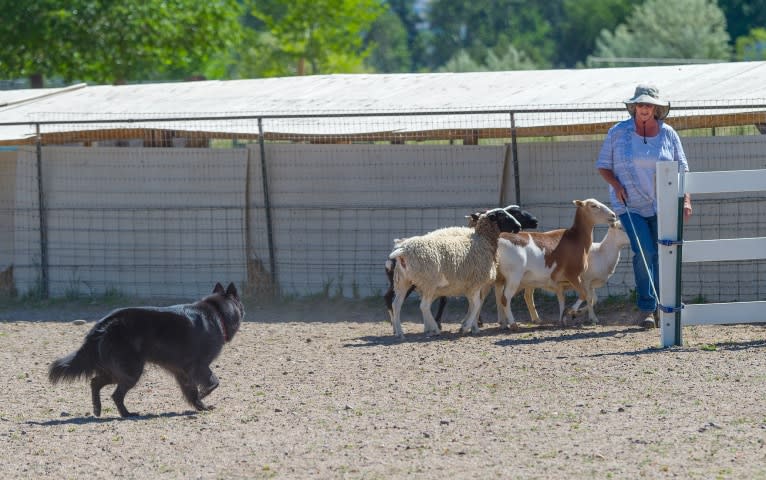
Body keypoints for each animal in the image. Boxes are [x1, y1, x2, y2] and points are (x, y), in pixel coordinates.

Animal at [48, 282, 244, 416]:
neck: (217, 313)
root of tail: (102, 324)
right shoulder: (199, 366)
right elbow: (213, 382)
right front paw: (204, 398)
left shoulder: (182, 372)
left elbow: (191, 391)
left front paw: (199, 405)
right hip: (131, 371)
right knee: (115, 394)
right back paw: (126, 414)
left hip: (116, 370)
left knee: (95, 382)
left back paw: (98, 409)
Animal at [390, 208, 520, 340]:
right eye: (502, 216)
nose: (519, 226)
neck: (483, 241)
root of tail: (403, 250)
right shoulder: (476, 281)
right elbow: (477, 304)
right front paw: (466, 327)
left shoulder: (470, 285)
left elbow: (473, 304)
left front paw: (472, 327)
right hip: (428, 281)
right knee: (424, 306)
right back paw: (434, 329)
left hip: (403, 281)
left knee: (396, 305)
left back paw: (400, 332)